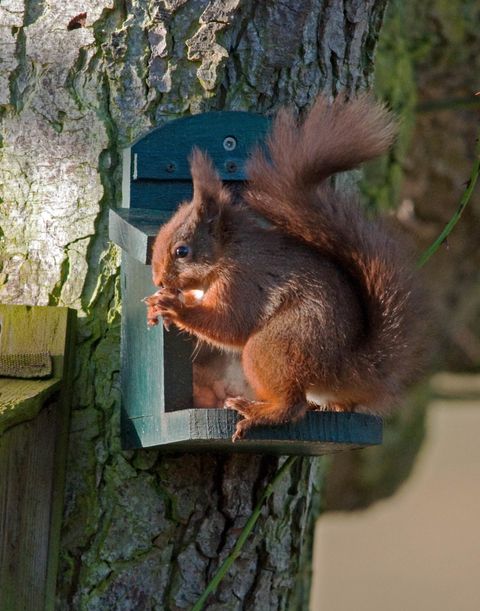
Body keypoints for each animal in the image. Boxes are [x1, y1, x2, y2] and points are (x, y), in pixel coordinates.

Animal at [144, 94, 422, 440]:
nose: (158, 279)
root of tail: (346, 367)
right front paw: (158, 303)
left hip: (276, 347)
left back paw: (258, 412)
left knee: (293, 405)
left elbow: (229, 323)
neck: (226, 252)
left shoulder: (242, 280)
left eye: (182, 251)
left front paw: (176, 307)